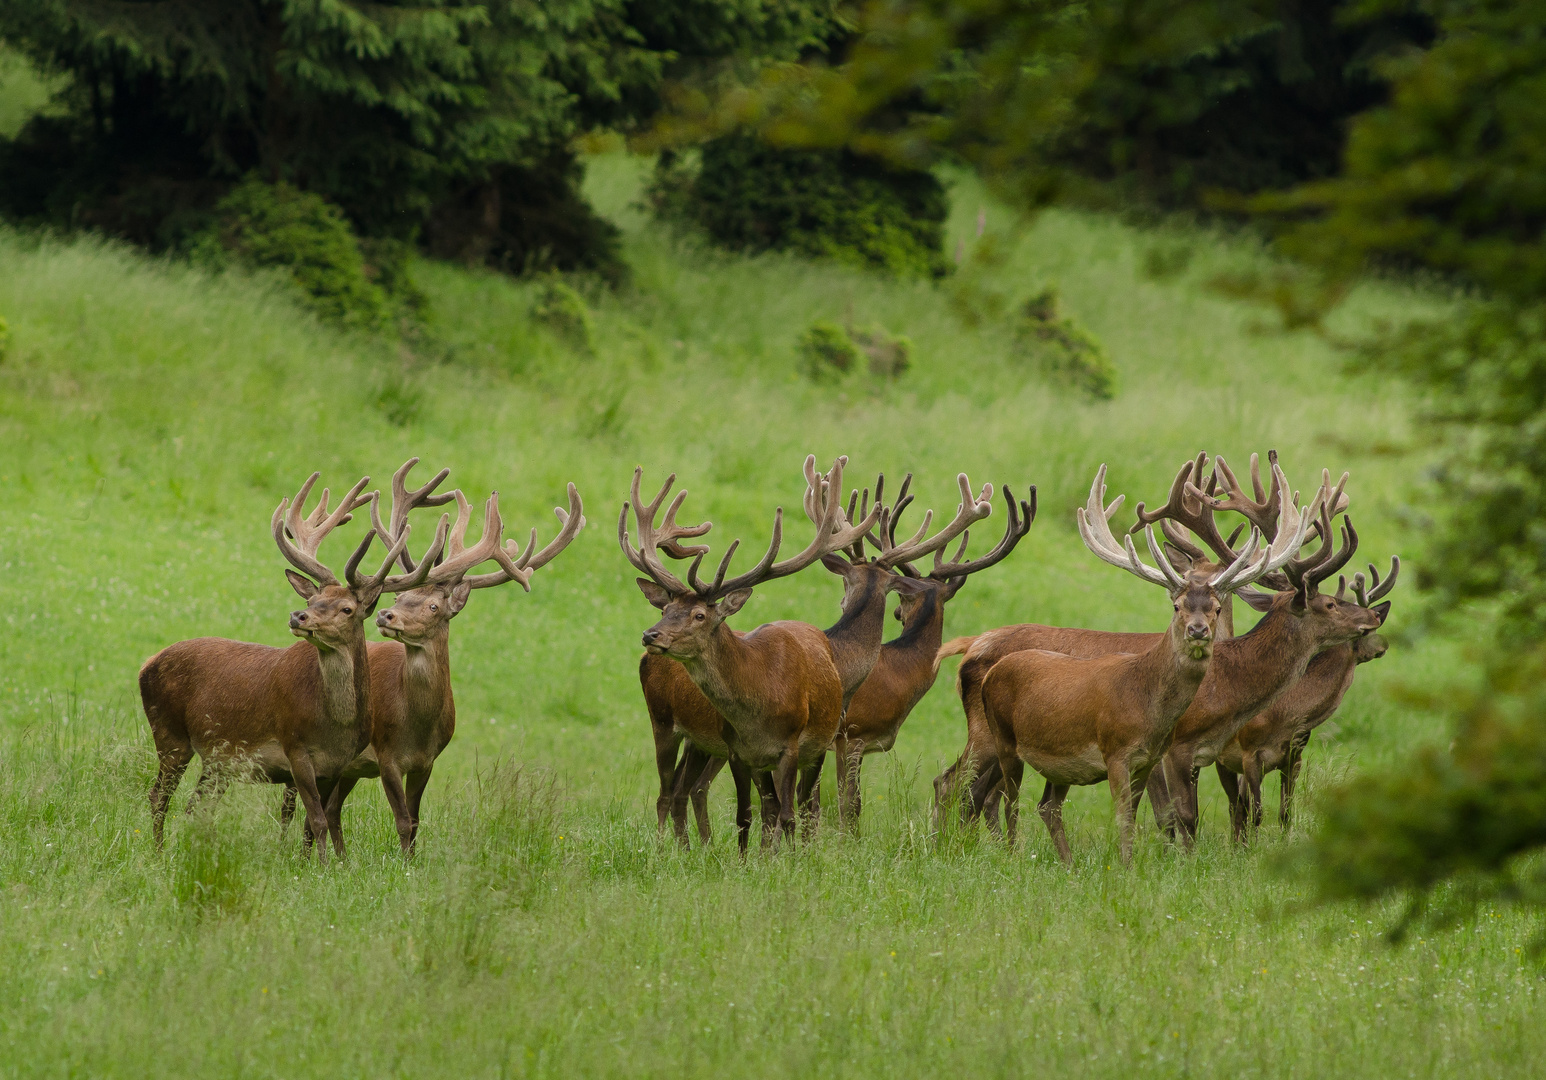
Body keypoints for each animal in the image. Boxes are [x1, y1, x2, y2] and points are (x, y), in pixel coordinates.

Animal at [136, 469, 439, 859]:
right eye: (312, 599)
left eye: (347, 609)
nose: (298, 616)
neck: (333, 726)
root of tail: (146, 664)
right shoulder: (295, 748)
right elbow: (318, 820)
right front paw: (321, 866)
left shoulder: (338, 765)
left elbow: (314, 821)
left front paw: (315, 863)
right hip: (169, 733)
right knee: (159, 796)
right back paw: (157, 854)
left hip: (217, 761)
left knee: (195, 806)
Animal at [977, 460, 1304, 865]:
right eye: (1176, 603)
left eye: (1217, 604)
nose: (1198, 629)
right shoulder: (1148, 753)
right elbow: (1164, 815)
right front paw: (1151, 863)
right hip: (998, 740)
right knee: (987, 796)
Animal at [1218, 556, 1403, 846]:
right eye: (1363, 634)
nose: (1383, 644)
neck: (1286, 715)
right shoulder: (1250, 755)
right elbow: (1256, 814)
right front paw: (1251, 852)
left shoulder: (1294, 756)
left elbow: (1285, 813)